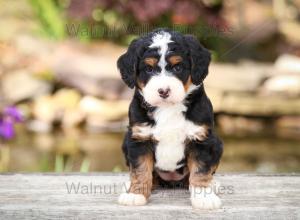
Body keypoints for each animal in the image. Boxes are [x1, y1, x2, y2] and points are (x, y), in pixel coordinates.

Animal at [117, 28, 223, 209]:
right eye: (149, 69)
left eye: (178, 67)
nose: (164, 91)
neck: (167, 108)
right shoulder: (140, 138)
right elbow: (140, 170)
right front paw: (135, 194)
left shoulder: (200, 139)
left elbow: (201, 170)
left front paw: (203, 196)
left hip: (217, 143)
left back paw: (212, 184)